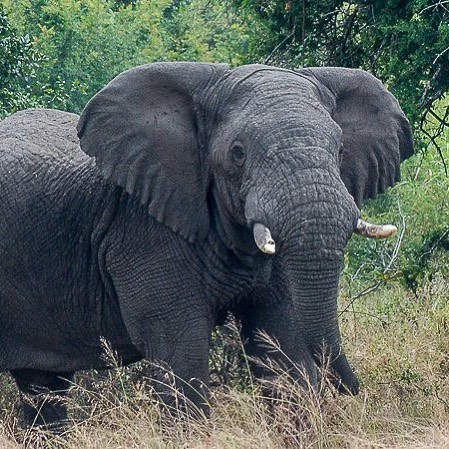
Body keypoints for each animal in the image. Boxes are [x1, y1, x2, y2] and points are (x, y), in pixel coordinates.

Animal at [0, 62, 412, 428]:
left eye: (340, 150)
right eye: (237, 153)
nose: (355, 390)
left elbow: (281, 340)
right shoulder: (141, 230)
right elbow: (178, 352)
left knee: (43, 386)